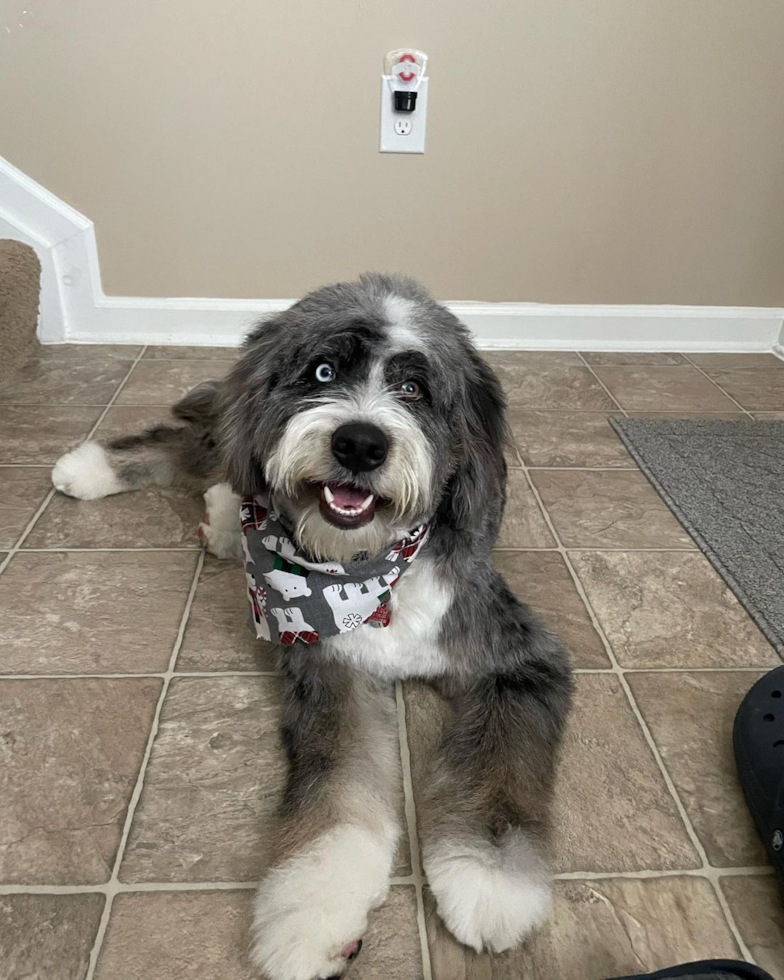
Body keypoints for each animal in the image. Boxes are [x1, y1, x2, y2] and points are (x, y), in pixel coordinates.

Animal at [52, 274, 572, 980]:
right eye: (324, 371)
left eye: (415, 389)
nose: (360, 443)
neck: (366, 567)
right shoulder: (328, 669)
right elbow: (336, 796)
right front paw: (311, 914)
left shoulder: (516, 658)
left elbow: (500, 771)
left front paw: (490, 883)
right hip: (233, 430)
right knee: (203, 450)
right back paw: (95, 470)